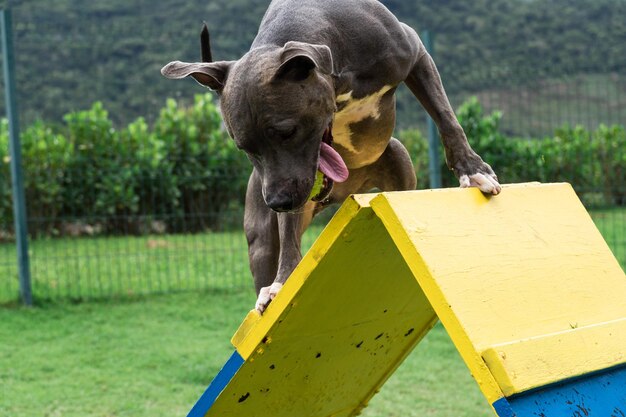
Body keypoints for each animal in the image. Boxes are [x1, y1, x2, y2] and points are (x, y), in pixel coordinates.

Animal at [161, 0, 498, 312]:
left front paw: (473, 170)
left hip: (398, 158)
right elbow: (288, 232)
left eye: (286, 131)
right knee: (276, 243)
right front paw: (282, 281)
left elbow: (444, 114)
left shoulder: (415, 52)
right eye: (244, 147)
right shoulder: (291, 185)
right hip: (262, 234)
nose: (277, 202)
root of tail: (345, 193)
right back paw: (274, 286)